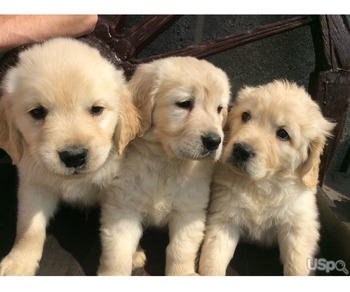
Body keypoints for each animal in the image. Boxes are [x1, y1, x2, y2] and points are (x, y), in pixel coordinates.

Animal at [0, 37, 139, 274]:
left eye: (96, 109)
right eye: (37, 112)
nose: (74, 157)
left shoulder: (122, 194)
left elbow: (119, 238)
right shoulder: (34, 185)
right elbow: (29, 229)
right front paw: (18, 263)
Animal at [97, 56, 231, 276]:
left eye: (219, 109)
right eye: (184, 104)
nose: (214, 141)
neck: (165, 162)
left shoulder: (189, 210)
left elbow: (180, 250)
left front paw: (182, 274)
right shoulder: (123, 206)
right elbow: (117, 252)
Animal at [198, 78, 334, 274]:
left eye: (283, 134)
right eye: (246, 116)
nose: (241, 150)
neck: (261, 185)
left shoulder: (298, 228)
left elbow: (298, 265)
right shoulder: (224, 218)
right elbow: (212, 260)